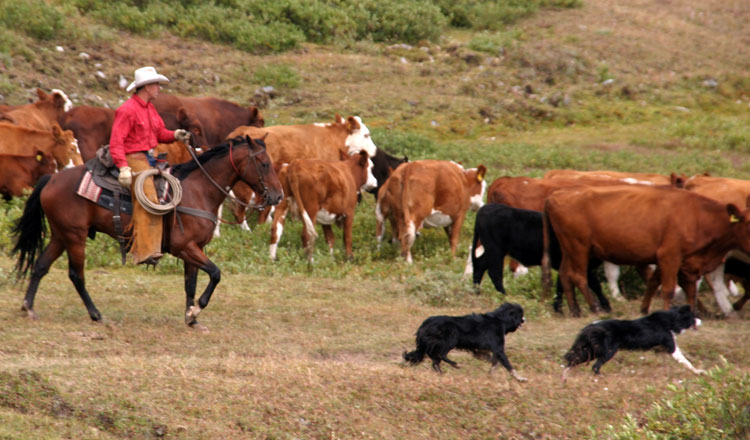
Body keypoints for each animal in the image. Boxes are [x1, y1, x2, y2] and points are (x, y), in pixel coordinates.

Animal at [11, 136, 282, 328]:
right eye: (265, 163)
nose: (278, 196)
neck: (199, 190)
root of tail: (51, 179)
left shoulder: (195, 249)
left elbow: (191, 284)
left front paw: (191, 319)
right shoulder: (185, 247)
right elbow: (215, 274)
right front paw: (196, 310)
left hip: (61, 235)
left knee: (41, 265)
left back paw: (29, 307)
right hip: (75, 236)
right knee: (76, 275)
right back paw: (96, 314)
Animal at [472, 204, 612, 312]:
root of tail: (486, 208)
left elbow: (565, 284)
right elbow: (593, 283)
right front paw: (605, 306)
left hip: (492, 251)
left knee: (480, 266)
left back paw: (476, 291)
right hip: (495, 251)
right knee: (494, 272)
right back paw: (504, 295)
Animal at [548, 185, 750, 316]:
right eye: (748, 223)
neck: (698, 215)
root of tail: (558, 194)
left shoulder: (677, 261)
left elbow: (663, 284)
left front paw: (646, 309)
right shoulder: (670, 256)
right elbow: (668, 289)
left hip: (569, 250)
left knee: (565, 275)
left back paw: (575, 310)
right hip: (579, 248)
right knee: (578, 276)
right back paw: (594, 308)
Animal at [564, 304, 704, 380]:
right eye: (693, 317)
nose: (701, 320)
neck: (672, 319)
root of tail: (591, 326)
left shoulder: (661, 349)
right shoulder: (670, 346)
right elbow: (685, 360)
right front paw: (698, 371)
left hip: (590, 350)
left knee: (572, 360)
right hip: (607, 351)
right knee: (594, 366)